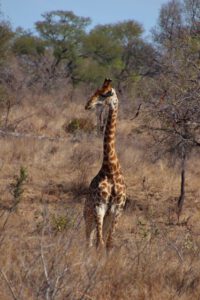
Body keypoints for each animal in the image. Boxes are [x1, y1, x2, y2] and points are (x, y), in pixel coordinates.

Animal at [83, 78, 126, 250]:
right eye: (96, 90)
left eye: (105, 94)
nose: (88, 105)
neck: (111, 168)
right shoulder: (99, 206)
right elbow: (99, 243)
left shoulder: (116, 209)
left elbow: (108, 243)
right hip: (88, 215)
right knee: (89, 241)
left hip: (105, 217)